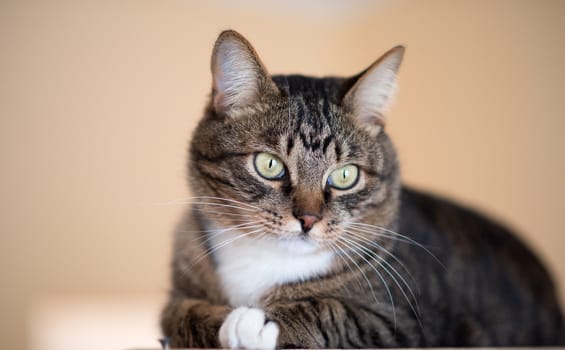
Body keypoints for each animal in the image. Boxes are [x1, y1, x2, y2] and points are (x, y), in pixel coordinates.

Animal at [160, 29, 564, 348]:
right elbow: (177, 312)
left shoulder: (405, 323)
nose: (308, 219)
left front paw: (258, 321)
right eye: (269, 165)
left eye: (345, 175)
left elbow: (335, 312)